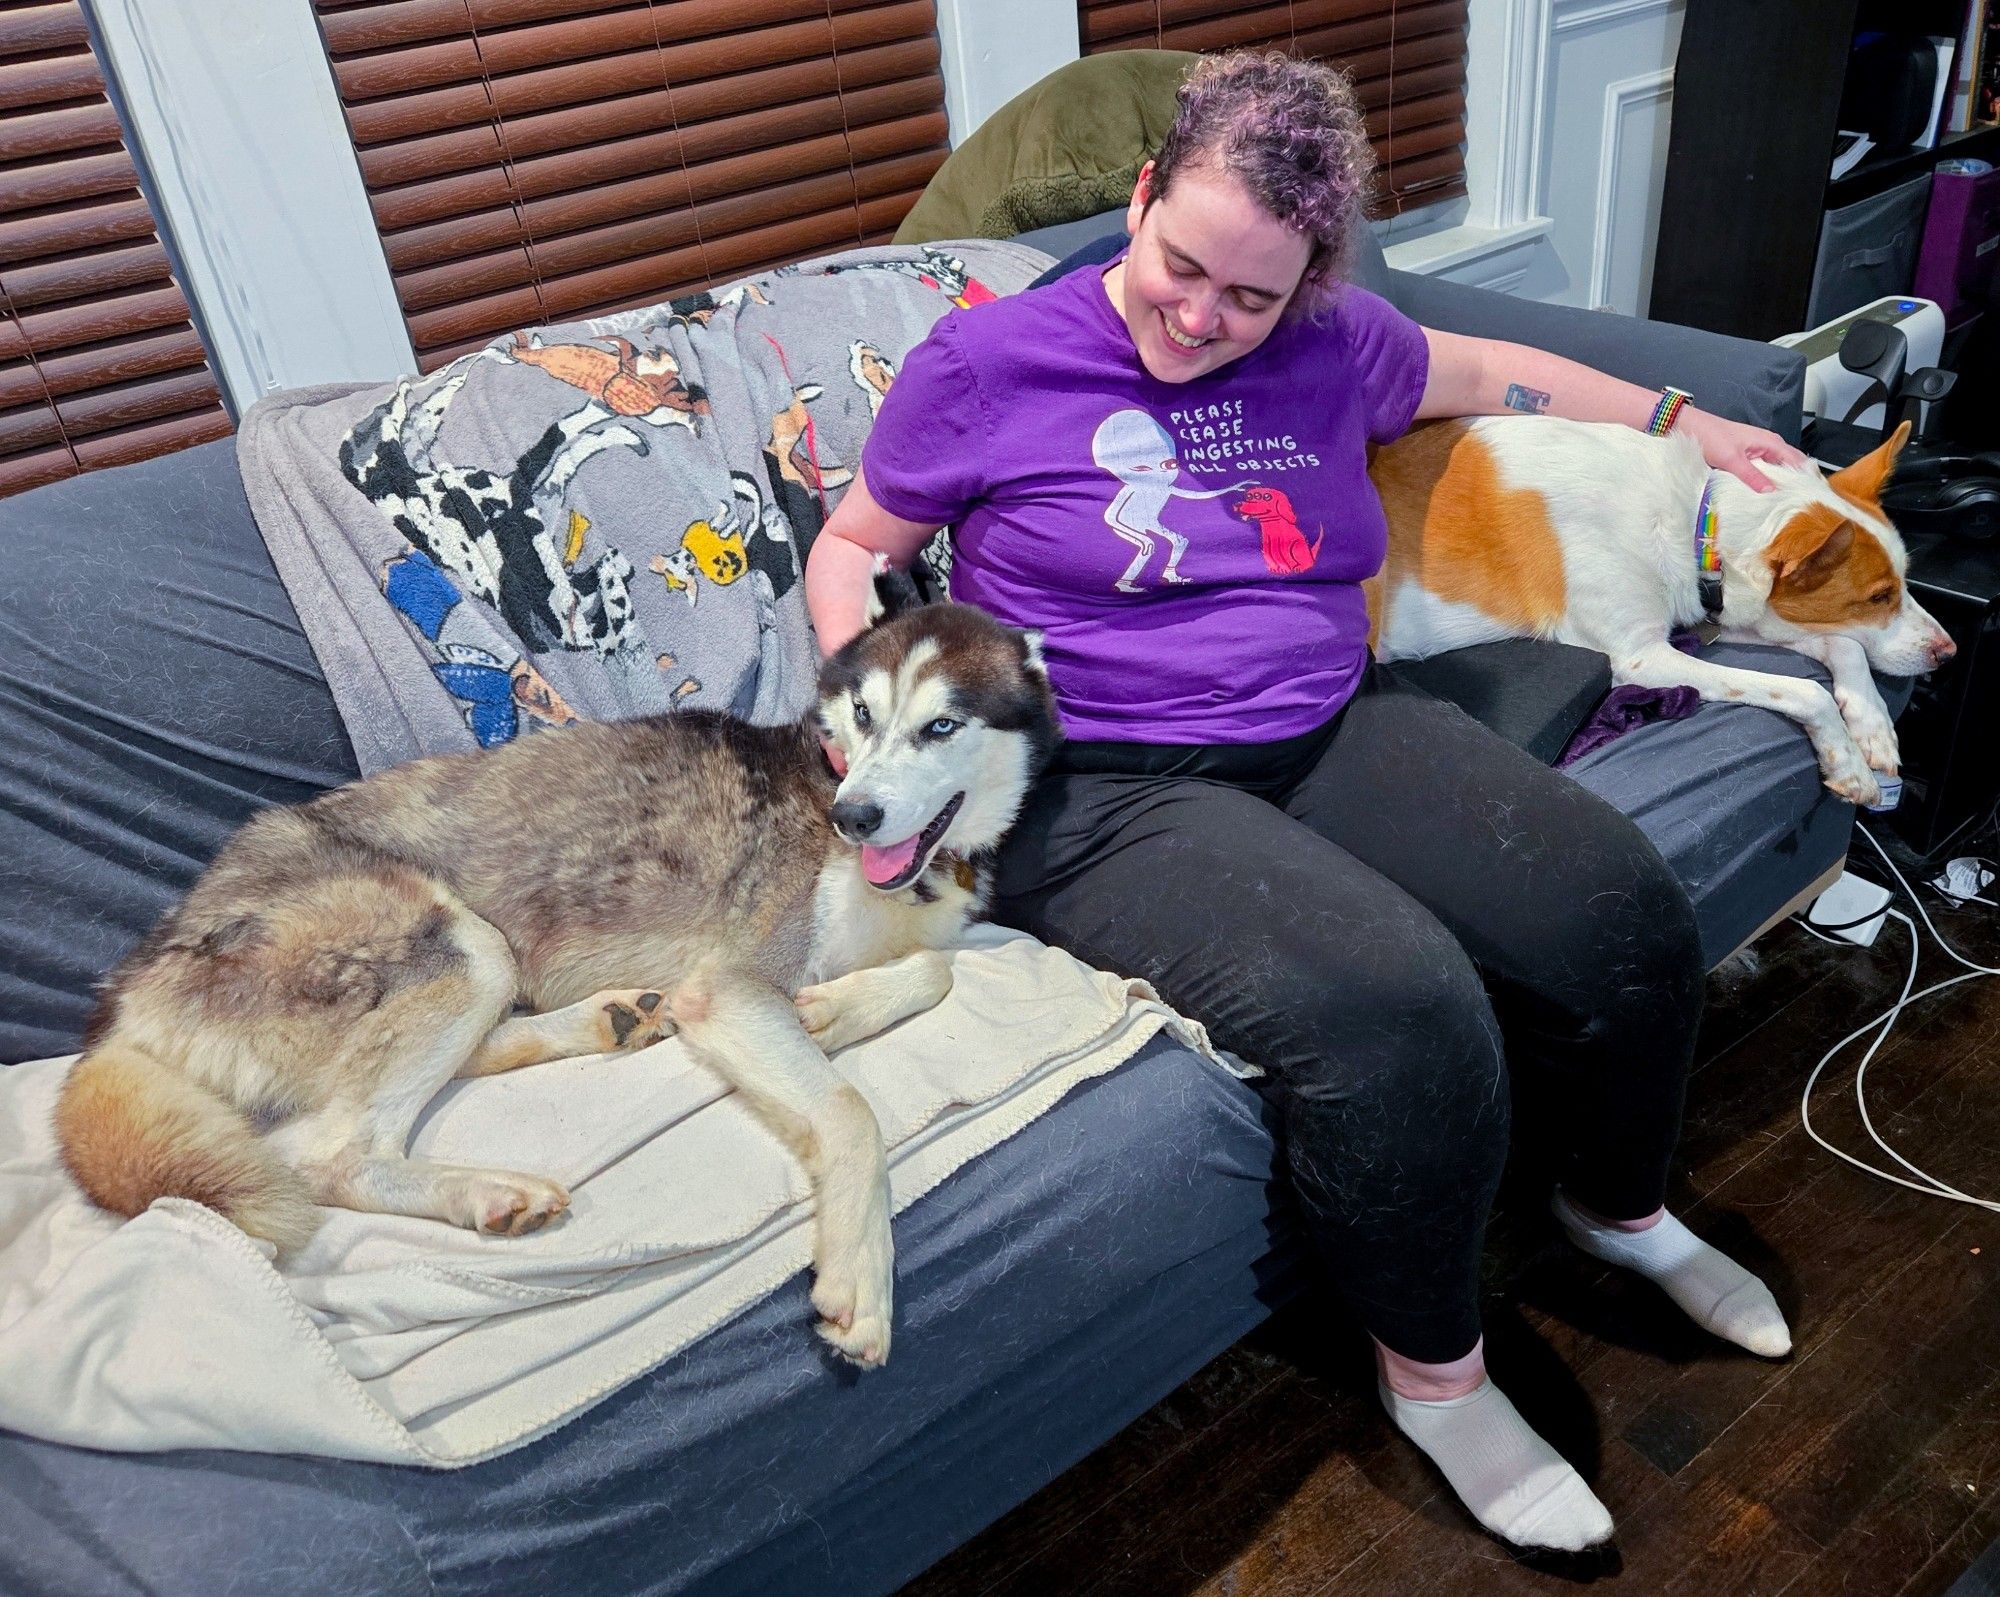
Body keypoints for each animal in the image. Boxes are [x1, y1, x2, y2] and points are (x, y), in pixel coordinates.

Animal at [58, 568, 1064, 1368]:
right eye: (863, 715)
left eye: (941, 726)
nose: (855, 816)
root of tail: (123, 1000)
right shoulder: (731, 986)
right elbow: (852, 1110)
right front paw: (862, 1275)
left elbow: (934, 971)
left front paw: (830, 1010)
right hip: (457, 941)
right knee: (335, 1156)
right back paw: (489, 1189)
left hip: (479, 961)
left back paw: (609, 1018)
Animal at [1368, 418, 1944, 808]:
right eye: (1877, 597)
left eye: (1903, 582)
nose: (1949, 651)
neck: (1695, 519)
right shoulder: (1641, 658)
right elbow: (1805, 689)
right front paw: (1847, 762)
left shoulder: (1727, 616)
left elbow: (1843, 645)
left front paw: (1872, 726)